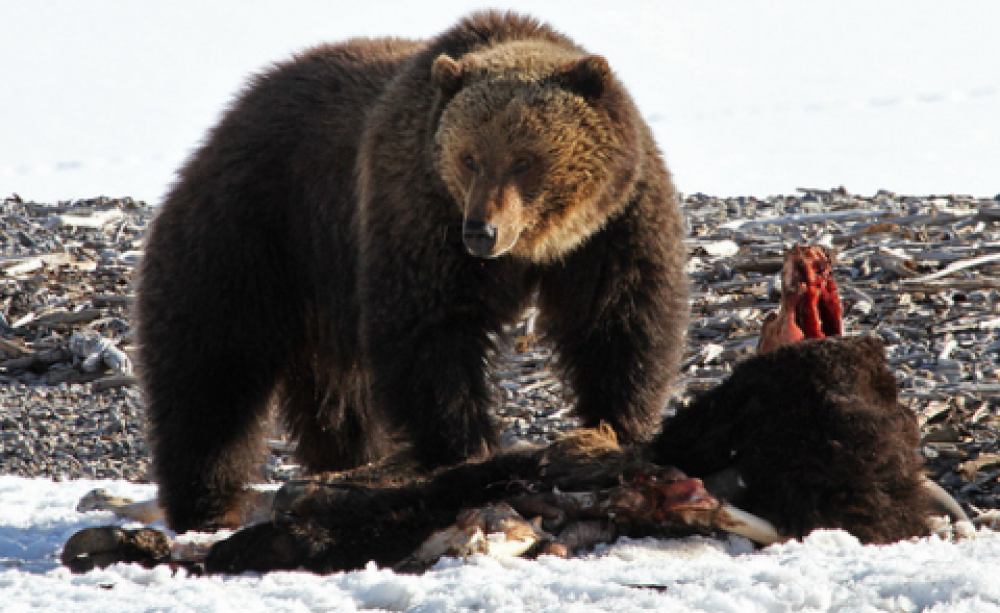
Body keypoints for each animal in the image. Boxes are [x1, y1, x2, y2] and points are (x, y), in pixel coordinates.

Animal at [137, 10, 689, 533]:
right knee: (211, 370)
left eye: (524, 160)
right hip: (256, 230)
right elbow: (430, 332)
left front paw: (612, 429)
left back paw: (345, 462)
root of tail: (230, 116)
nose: (482, 231)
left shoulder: (614, 226)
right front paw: (465, 449)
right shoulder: (419, 211)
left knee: (338, 399)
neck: (538, 247)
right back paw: (207, 504)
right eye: (469, 158)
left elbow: (619, 320)